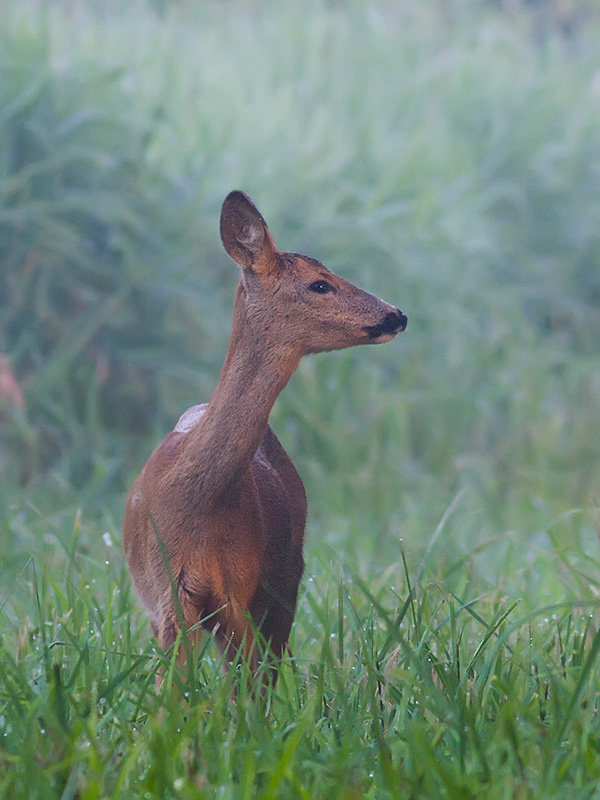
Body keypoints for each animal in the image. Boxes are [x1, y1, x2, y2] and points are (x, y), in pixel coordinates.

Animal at [124, 191, 410, 684]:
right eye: (320, 284)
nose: (397, 314)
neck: (195, 502)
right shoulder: (168, 598)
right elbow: (172, 692)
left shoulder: (238, 593)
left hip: (285, 578)